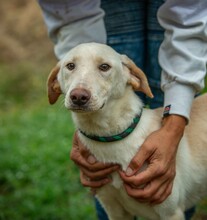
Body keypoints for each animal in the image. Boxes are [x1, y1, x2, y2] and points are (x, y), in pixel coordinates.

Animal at [47, 42, 207, 219]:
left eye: (104, 67)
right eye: (70, 66)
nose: (78, 97)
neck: (111, 139)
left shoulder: (171, 212)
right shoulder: (114, 209)